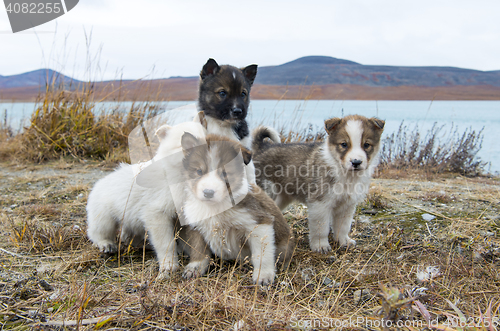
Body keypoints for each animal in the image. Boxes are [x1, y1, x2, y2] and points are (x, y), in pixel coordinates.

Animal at [85, 120, 206, 278]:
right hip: (103, 215)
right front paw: (169, 265)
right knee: (98, 231)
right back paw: (106, 244)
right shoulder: (156, 213)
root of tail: (100, 182)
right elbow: (165, 242)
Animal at [177, 133, 292, 286]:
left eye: (225, 173)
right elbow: (198, 249)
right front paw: (195, 267)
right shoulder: (196, 227)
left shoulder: (259, 223)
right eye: (199, 171)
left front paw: (264, 274)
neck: (215, 207)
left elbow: (262, 254)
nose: (208, 193)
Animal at [252, 115, 384, 253]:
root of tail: (262, 147)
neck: (344, 173)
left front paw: (344, 241)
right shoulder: (320, 204)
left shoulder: (347, 205)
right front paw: (321, 246)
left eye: (366, 145)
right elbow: (322, 228)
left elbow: (343, 226)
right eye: (344, 144)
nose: (356, 162)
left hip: (282, 197)